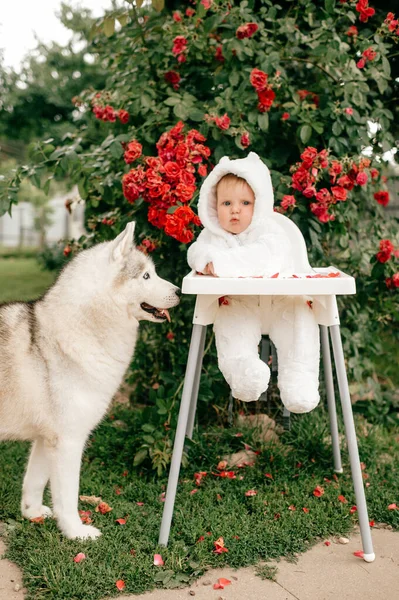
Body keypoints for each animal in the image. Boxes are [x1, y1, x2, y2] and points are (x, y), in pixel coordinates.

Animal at [0, 223, 180, 540]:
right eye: (146, 276)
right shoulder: (69, 441)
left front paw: (32, 513)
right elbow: (67, 496)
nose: (180, 291)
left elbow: (34, 481)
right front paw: (75, 531)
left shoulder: (47, 439)